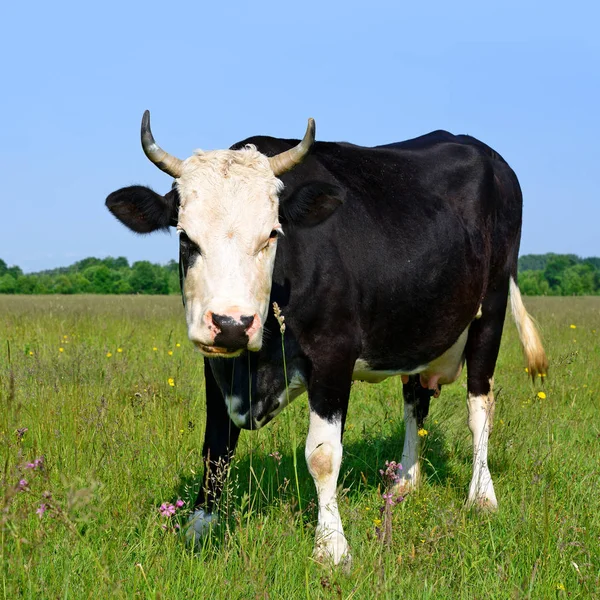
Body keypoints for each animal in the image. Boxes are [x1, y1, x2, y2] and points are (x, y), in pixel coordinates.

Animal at [104, 110, 548, 564]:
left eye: (272, 234)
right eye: (185, 236)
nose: (232, 323)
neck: (256, 365)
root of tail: (482, 150)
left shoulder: (334, 354)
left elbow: (322, 454)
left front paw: (331, 545)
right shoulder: (217, 363)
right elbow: (216, 447)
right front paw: (200, 525)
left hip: (491, 309)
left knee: (480, 408)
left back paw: (482, 496)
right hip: (416, 326)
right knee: (415, 403)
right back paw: (405, 483)